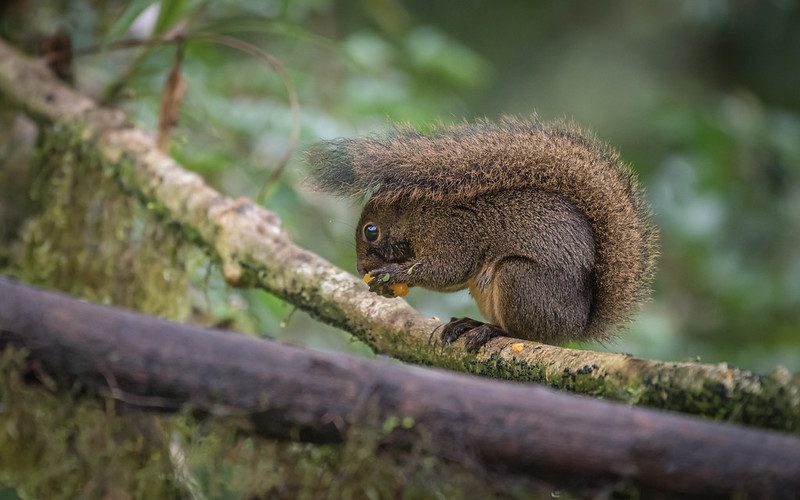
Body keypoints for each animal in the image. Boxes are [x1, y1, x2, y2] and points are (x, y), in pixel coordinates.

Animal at [307, 116, 658, 350]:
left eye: (371, 231)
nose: (361, 269)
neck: (420, 217)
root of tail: (576, 326)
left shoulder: (455, 234)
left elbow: (447, 271)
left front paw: (393, 273)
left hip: (520, 281)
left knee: (525, 334)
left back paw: (492, 331)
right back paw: (470, 324)